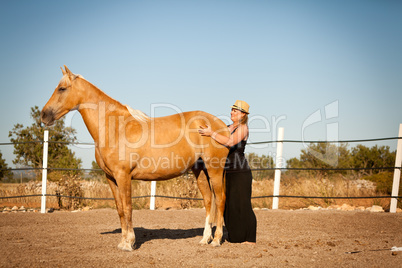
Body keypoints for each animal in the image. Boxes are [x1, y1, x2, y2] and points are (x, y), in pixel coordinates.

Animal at [41, 65, 229, 251]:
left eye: (62, 88)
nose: (43, 115)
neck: (115, 128)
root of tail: (220, 125)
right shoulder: (111, 178)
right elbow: (120, 209)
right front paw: (123, 242)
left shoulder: (123, 176)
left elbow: (127, 208)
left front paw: (129, 243)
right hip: (200, 171)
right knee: (208, 200)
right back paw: (205, 239)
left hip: (214, 169)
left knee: (220, 200)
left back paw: (217, 239)